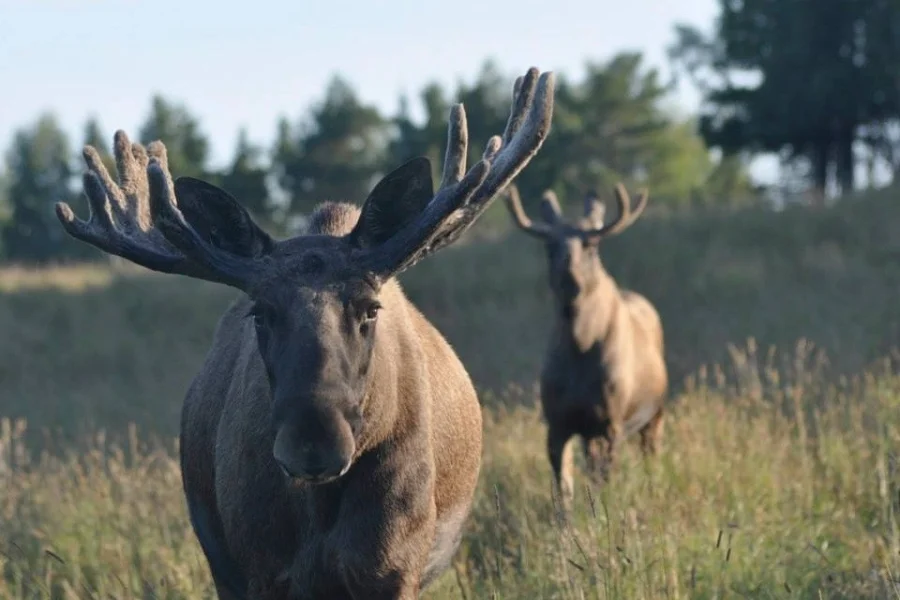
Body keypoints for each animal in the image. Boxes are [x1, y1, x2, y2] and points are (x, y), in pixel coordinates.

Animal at [54, 67, 555, 599]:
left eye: (370, 309)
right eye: (260, 313)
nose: (313, 441)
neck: (319, 510)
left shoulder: (395, 565)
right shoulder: (260, 569)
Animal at [503, 183, 668, 513]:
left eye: (591, 246)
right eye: (549, 247)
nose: (570, 281)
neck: (580, 351)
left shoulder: (611, 422)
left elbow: (604, 481)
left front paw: (603, 515)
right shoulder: (558, 423)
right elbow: (563, 490)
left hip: (655, 413)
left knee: (651, 458)